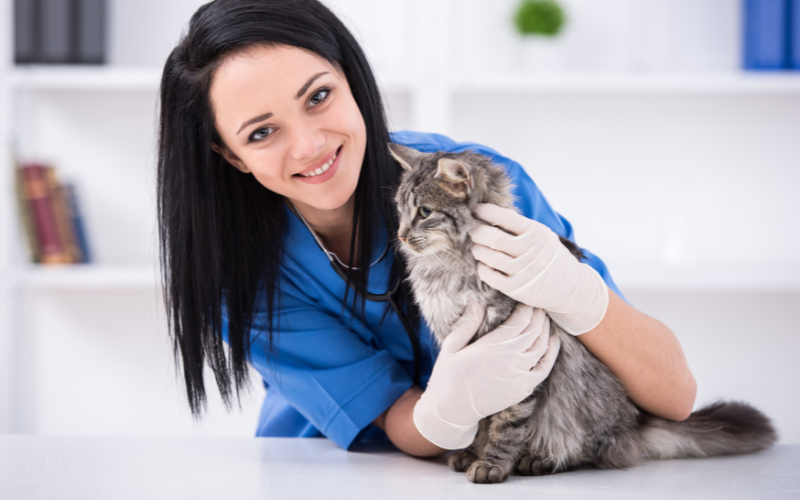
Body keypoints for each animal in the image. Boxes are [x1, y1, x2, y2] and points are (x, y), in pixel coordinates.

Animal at [388, 144, 776, 484]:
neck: (447, 266)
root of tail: (634, 424)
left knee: (595, 452)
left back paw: (540, 460)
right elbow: (476, 415)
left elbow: (506, 421)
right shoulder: (463, 349)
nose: (401, 236)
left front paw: (492, 463)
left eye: (424, 212)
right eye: (400, 211)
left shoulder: (517, 356)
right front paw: (472, 451)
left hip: (580, 403)